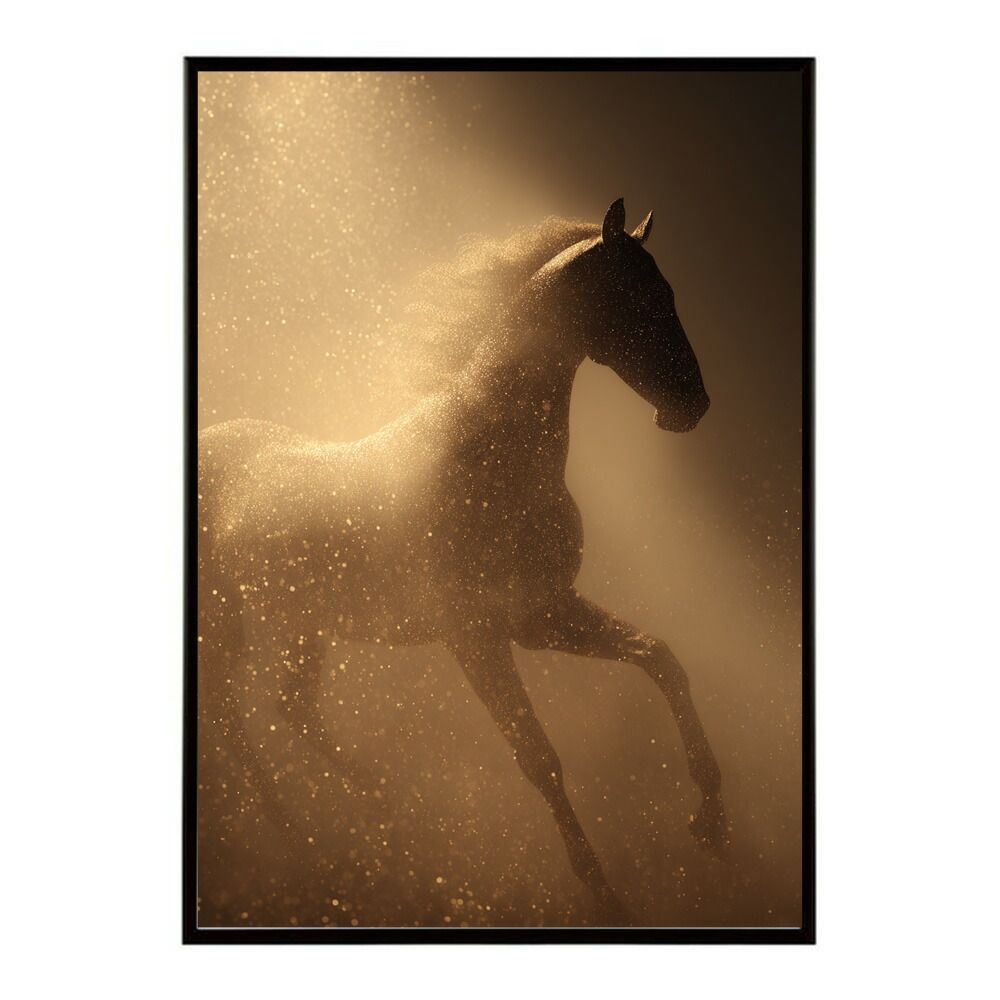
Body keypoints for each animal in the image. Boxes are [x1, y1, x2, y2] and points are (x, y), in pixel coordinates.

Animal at [197, 198, 728, 925]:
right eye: (635, 296)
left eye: (668, 291)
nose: (692, 405)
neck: (492, 458)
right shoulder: (475, 639)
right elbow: (539, 758)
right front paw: (604, 894)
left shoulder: (540, 615)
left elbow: (660, 658)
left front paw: (711, 819)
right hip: (226, 629)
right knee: (233, 724)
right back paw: (299, 835)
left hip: (310, 625)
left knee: (293, 708)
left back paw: (384, 804)